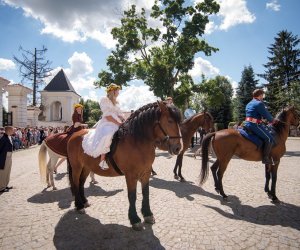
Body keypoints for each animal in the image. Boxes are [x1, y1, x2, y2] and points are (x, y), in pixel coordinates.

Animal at [66, 101, 182, 230]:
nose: (178, 148)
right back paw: (79, 206)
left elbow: (146, 193)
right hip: (77, 167)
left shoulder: (146, 173)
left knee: (81, 183)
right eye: (170, 121)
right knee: (76, 183)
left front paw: (148, 215)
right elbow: (132, 196)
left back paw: (84, 202)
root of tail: (74, 136)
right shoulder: (131, 175)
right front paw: (134, 219)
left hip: (86, 167)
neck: (136, 141)